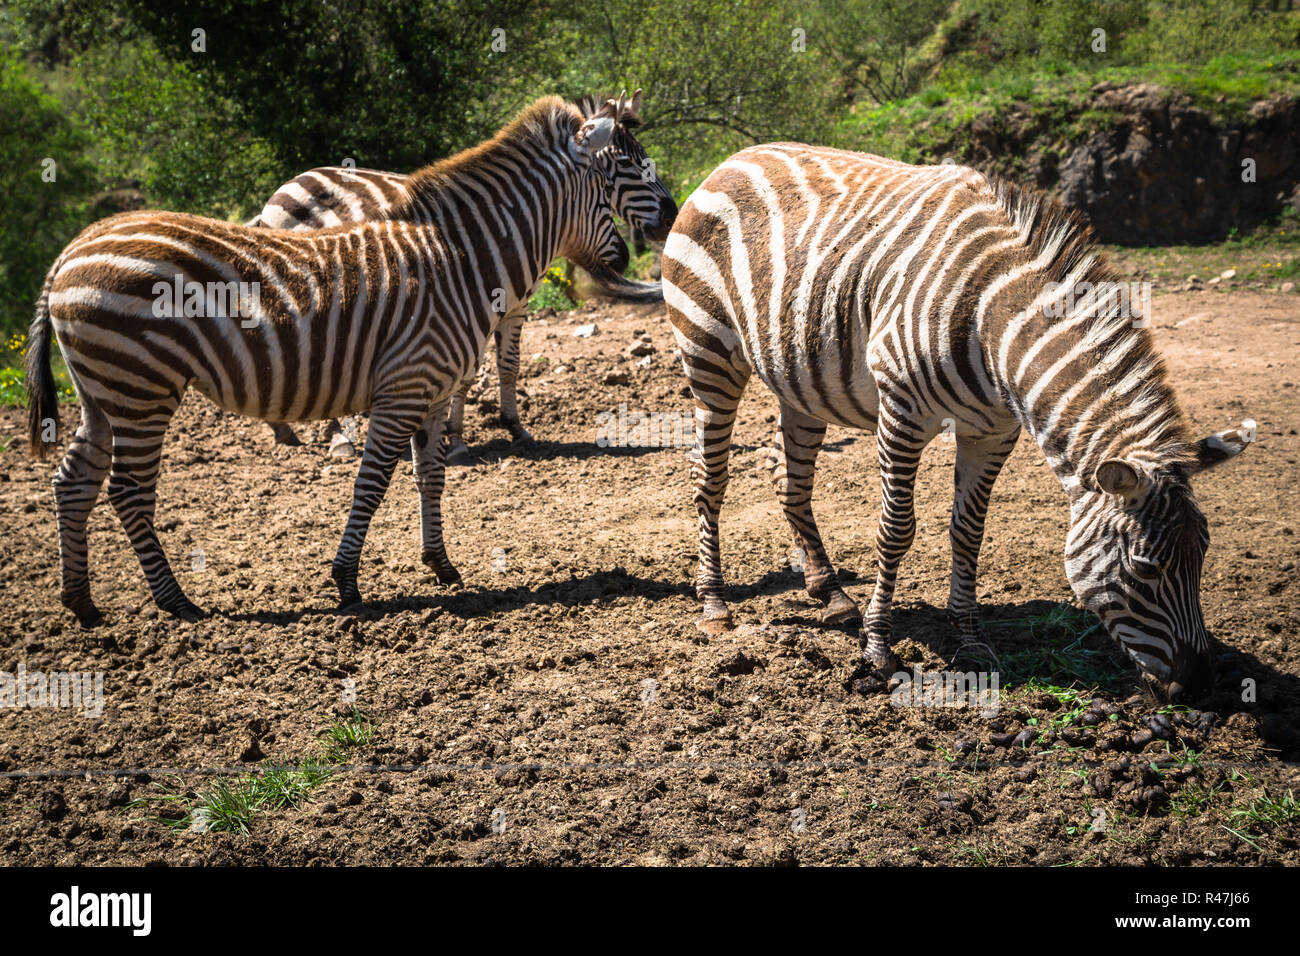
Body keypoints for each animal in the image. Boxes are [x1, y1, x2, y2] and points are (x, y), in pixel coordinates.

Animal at [22, 97, 642, 629]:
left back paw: (82, 603)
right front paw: (347, 582)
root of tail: (72, 248)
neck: (461, 261)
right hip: (141, 387)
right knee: (127, 490)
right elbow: (372, 483)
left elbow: (431, 475)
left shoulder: (433, 392)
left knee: (73, 480)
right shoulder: (403, 388)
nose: (628, 256)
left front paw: (441, 565)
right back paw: (177, 601)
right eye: (616, 183)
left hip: (103, 392)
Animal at [665, 147, 1253, 702]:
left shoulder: (992, 431)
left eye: (1203, 556)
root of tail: (735, 158)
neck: (993, 324)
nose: (1200, 688)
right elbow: (896, 529)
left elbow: (969, 533)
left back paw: (830, 594)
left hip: (801, 379)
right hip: (708, 353)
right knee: (709, 479)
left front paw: (970, 640)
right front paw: (879, 651)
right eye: (1145, 570)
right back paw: (714, 604)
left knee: (792, 482)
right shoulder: (901, 410)